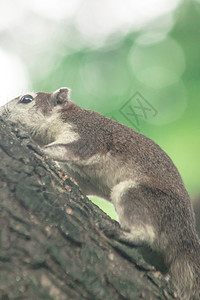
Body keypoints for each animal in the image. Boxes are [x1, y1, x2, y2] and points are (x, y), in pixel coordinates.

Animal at [0, 87, 199, 300]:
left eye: (26, 99)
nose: (2, 113)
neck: (66, 116)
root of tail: (185, 235)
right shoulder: (80, 175)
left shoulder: (89, 135)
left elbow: (71, 150)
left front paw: (34, 144)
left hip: (138, 195)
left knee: (146, 233)